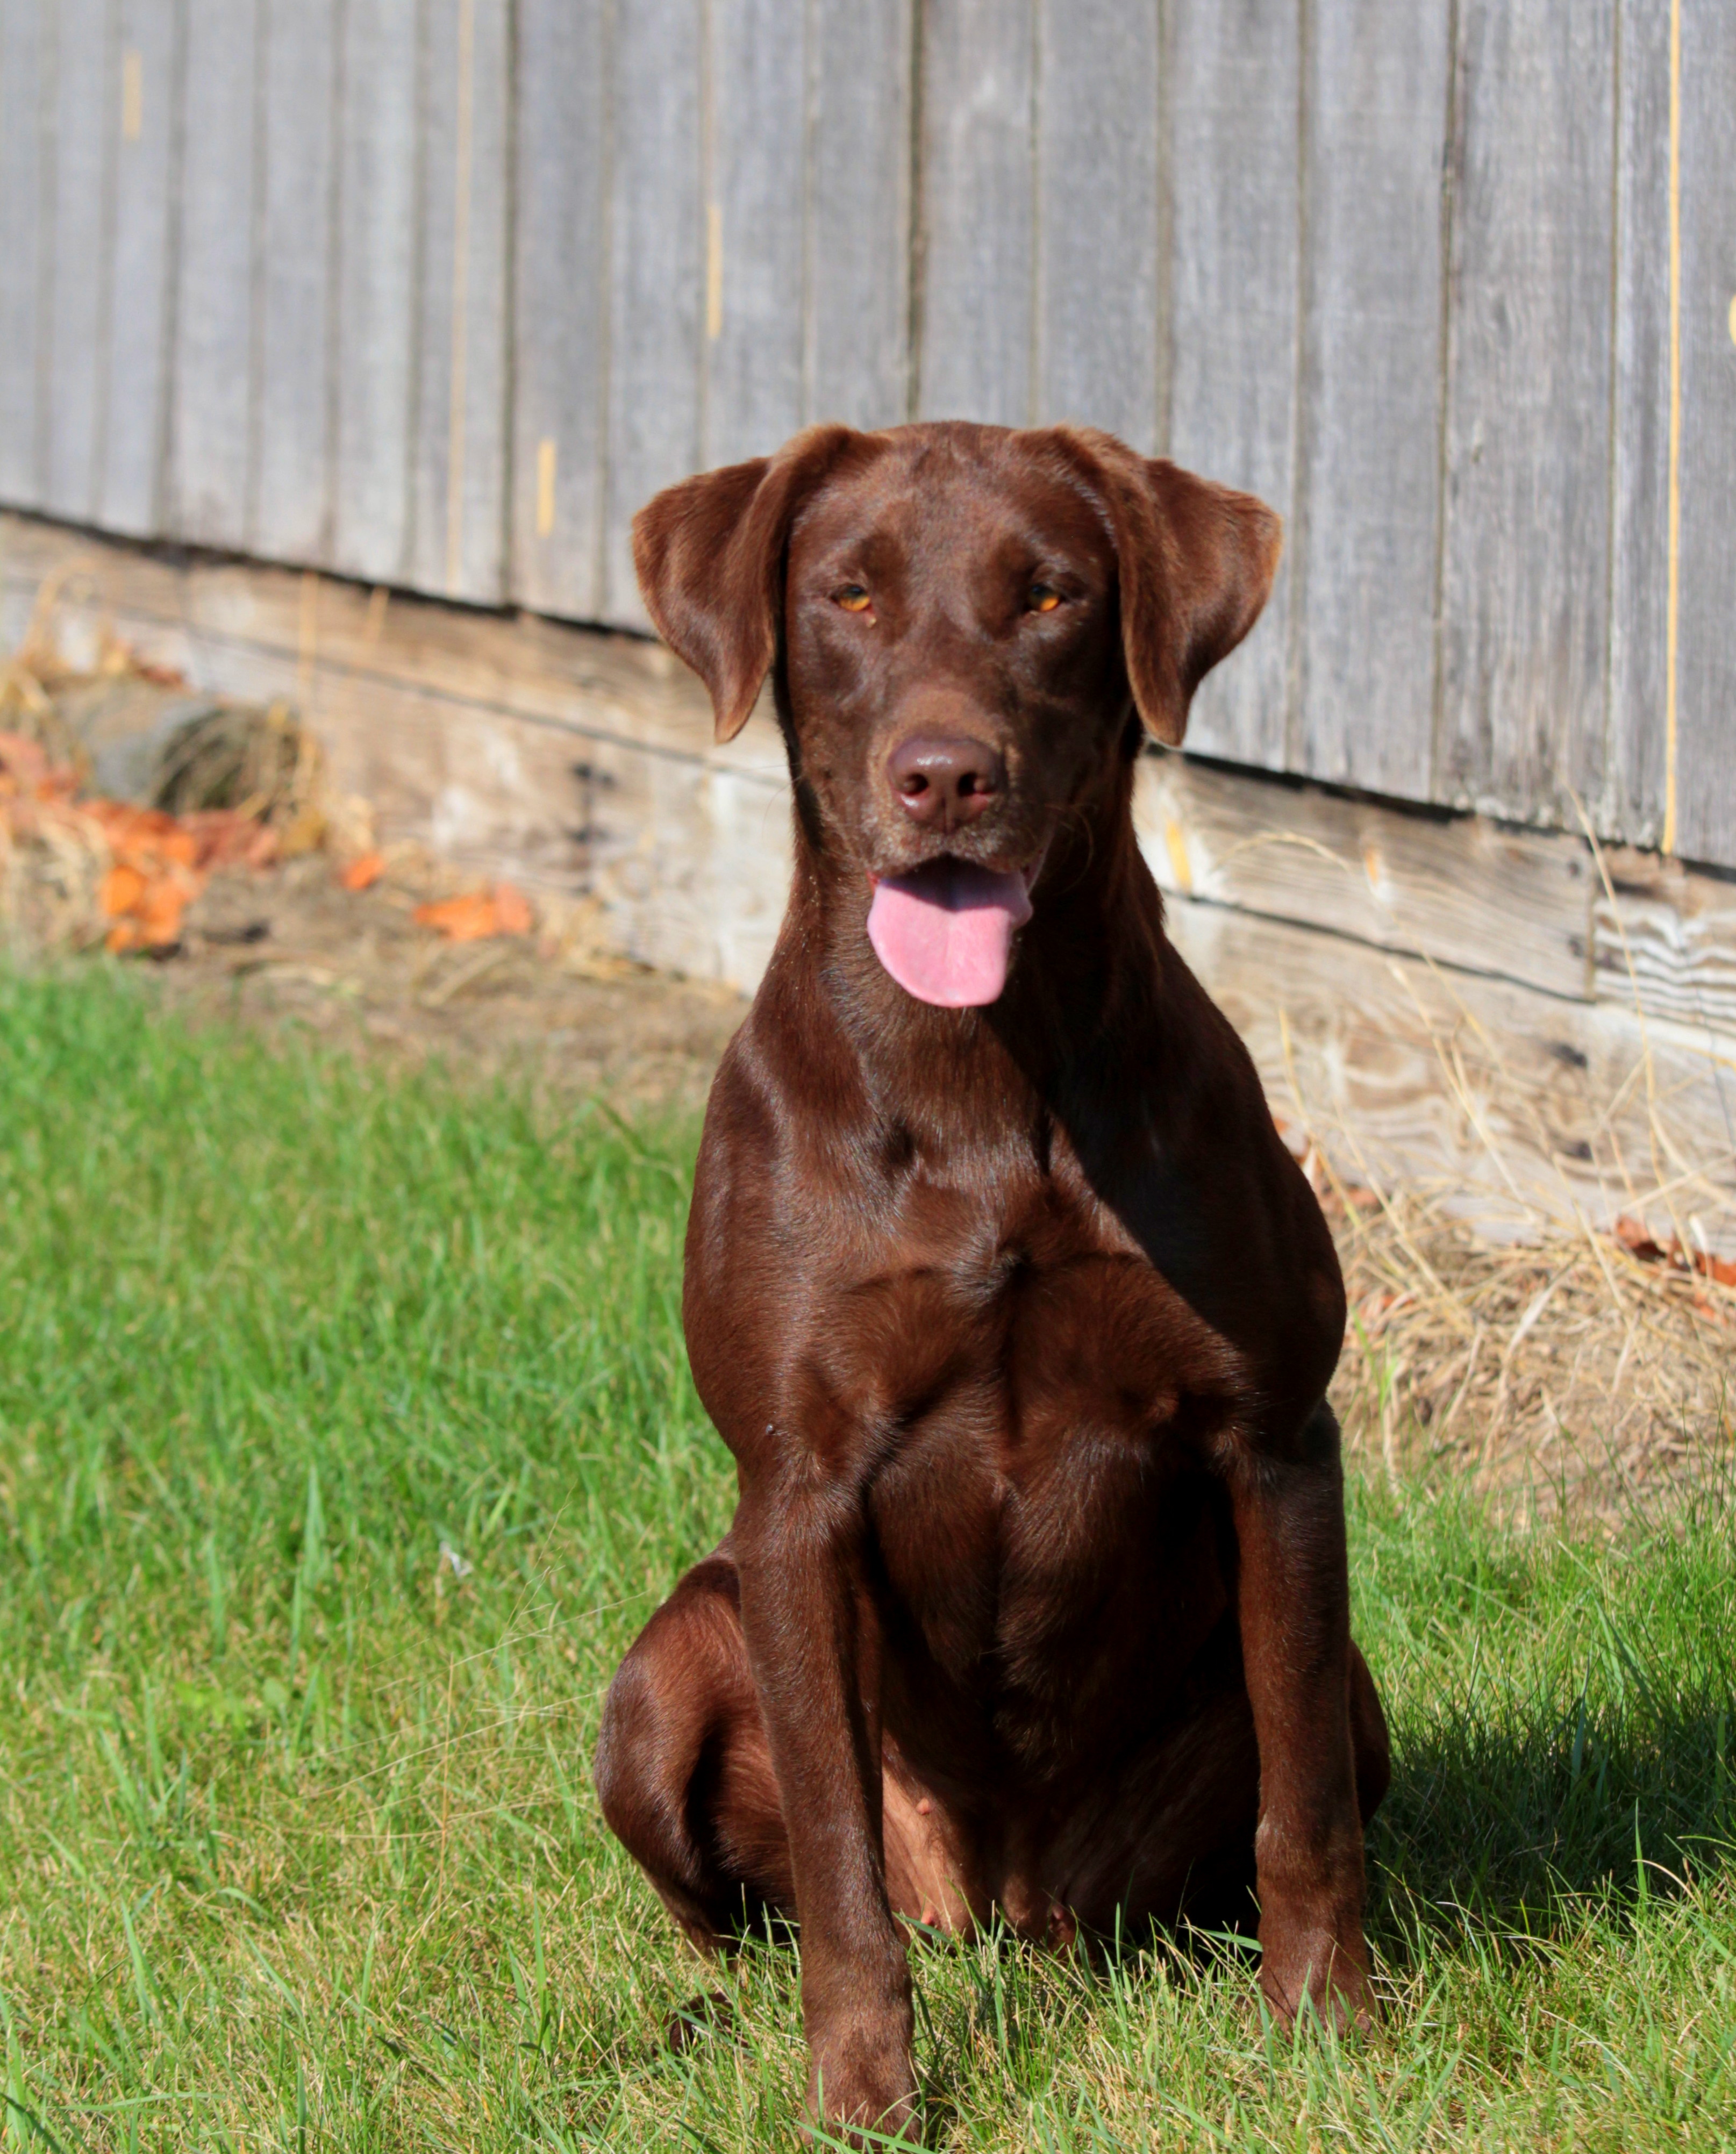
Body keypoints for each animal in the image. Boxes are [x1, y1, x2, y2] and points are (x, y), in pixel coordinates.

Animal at [603, 420, 1396, 2136]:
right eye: (846, 593)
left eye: (1047, 595)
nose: (945, 775)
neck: (981, 1074)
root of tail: (1009, 1910)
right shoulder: (796, 1487)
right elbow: (839, 1867)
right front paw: (862, 2099)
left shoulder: (1275, 1435)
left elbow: (1301, 1795)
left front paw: (1328, 2027)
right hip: (663, 1670)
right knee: (741, 1906)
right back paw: (694, 2020)